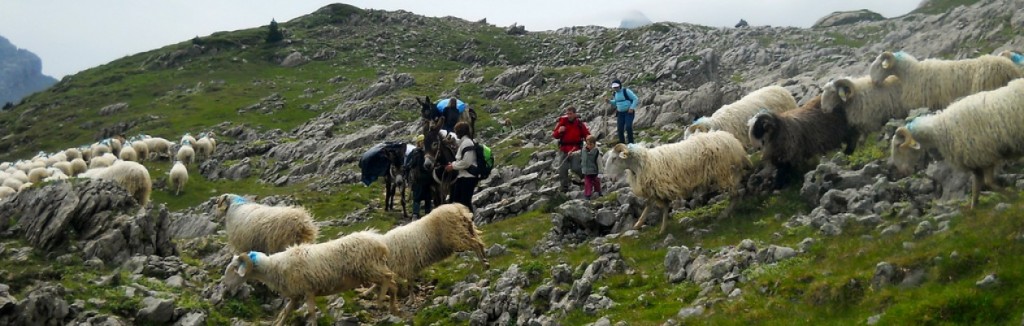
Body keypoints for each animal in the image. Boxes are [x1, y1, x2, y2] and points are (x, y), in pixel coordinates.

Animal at [222, 230, 397, 323]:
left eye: (235, 268)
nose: (225, 286)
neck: (273, 267)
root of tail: (380, 241)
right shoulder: (296, 295)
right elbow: (285, 312)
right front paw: (278, 323)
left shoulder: (308, 290)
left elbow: (311, 313)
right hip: (371, 269)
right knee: (393, 283)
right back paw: (392, 307)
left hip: (370, 268)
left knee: (388, 277)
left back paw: (380, 301)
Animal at [602, 129, 749, 234]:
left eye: (614, 158)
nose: (610, 178)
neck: (643, 164)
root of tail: (732, 141)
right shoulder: (656, 189)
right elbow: (652, 205)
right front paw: (644, 225)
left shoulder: (660, 186)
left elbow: (658, 206)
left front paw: (658, 228)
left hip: (723, 171)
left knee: (735, 195)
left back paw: (724, 214)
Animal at [888, 77, 1024, 207]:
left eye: (898, 146)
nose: (902, 171)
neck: (940, 129)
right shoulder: (975, 160)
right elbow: (976, 187)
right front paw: (973, 208)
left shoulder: (985, 156)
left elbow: (988, 183)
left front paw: (1012, 195)